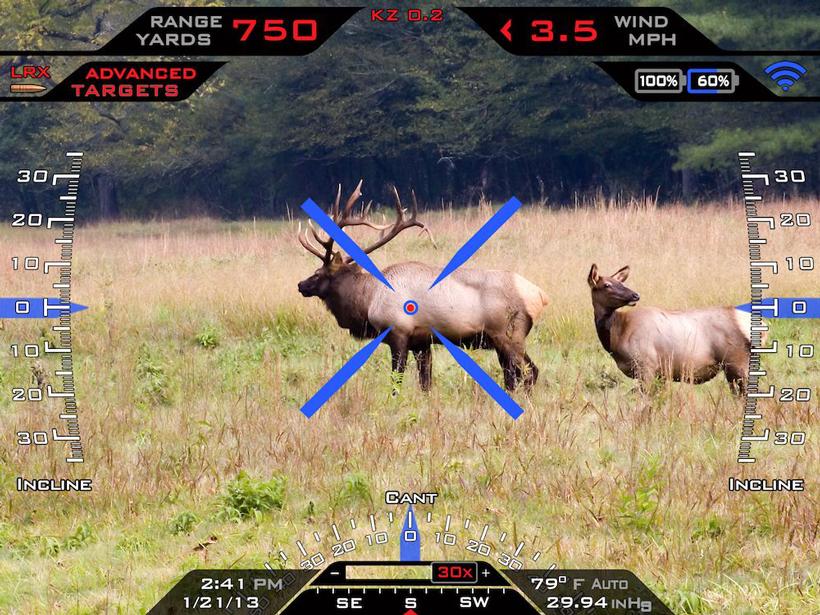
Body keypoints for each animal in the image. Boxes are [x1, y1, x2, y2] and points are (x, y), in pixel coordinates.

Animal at [297, 181, 549, 392]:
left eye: (319, 274)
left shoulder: (398, 333)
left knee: (529, 373)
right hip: (504, 340)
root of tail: (540, 295)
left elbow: (396, 380)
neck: (368, 301)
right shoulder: (422, 342)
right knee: (515, 376)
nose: (301, 284)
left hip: (508, 335)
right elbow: (425, 383)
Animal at [587, 264, 756, 394]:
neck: (616, 337)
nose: (635, 295)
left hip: (736, 361)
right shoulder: (660, 374)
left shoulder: (646, 366)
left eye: (620, 283)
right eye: (606, 285)